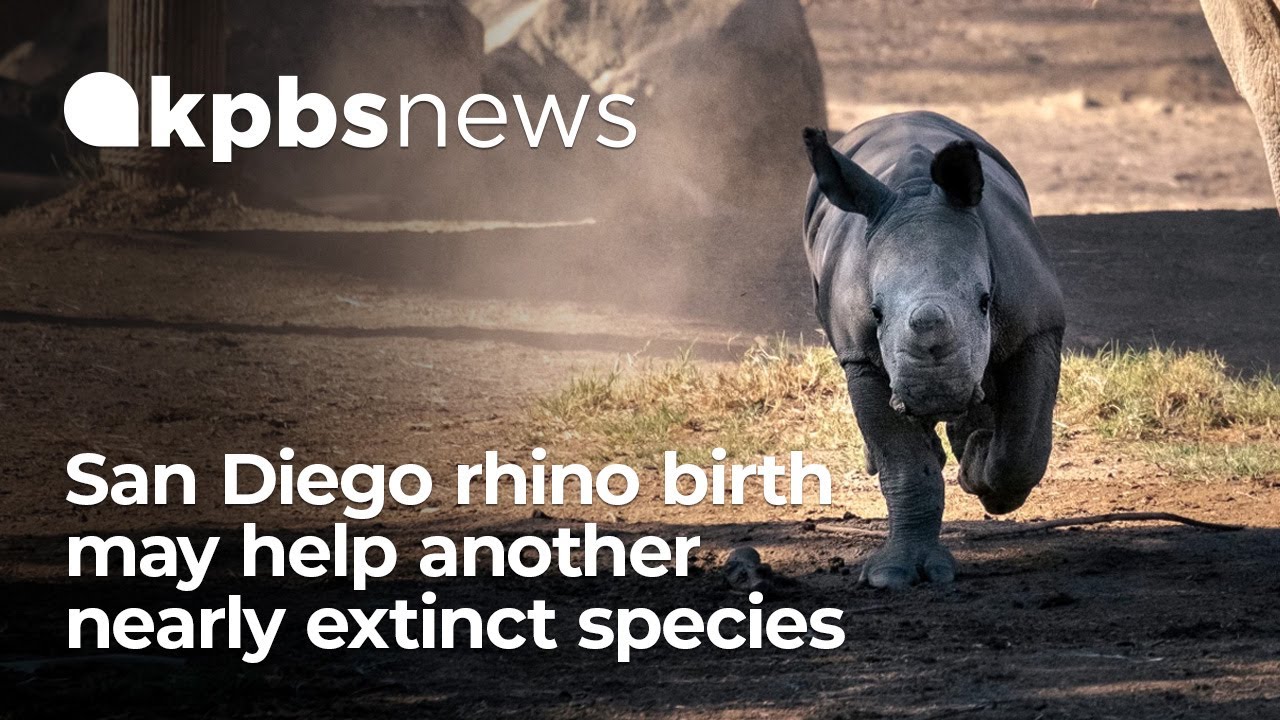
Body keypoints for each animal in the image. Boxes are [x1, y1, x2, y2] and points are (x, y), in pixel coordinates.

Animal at [802, 111, 1066, 589]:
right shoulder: (860, 357)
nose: (934, 394)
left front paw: (978, 468)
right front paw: (895, 575)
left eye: (985, 301)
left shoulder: (1037, 326)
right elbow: (907, 469)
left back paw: (971, 446)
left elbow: (1022, 445)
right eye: (875, 312)